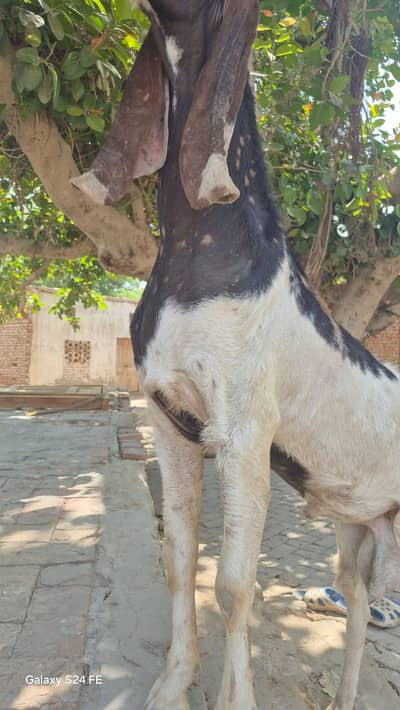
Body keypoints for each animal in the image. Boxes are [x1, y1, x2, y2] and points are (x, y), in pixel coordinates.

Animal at [73, 1, 400, 708]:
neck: (205, 255)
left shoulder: (245, 434)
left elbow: (233, 584)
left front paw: (233, 697)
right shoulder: (169, 420)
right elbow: (179, 561)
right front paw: (172, 685)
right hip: (357, 522)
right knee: (359, 602)